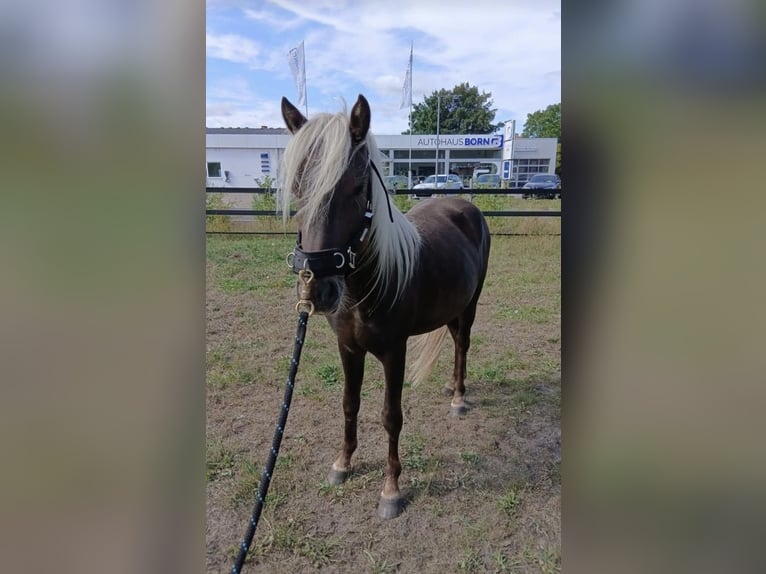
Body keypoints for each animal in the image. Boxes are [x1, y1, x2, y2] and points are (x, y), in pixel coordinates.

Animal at [280, 94, 491, 519]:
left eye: (356, 186)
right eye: (297, 188)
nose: (318, 290)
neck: (368, 285)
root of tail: (467, 206)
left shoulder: (395, 352)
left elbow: (391, 417)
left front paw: (391, 489)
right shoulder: (348, 348)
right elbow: (350, 404)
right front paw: (342, 463)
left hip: (471, 304)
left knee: (463, 345)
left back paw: (459, 398)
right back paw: (450, 386)